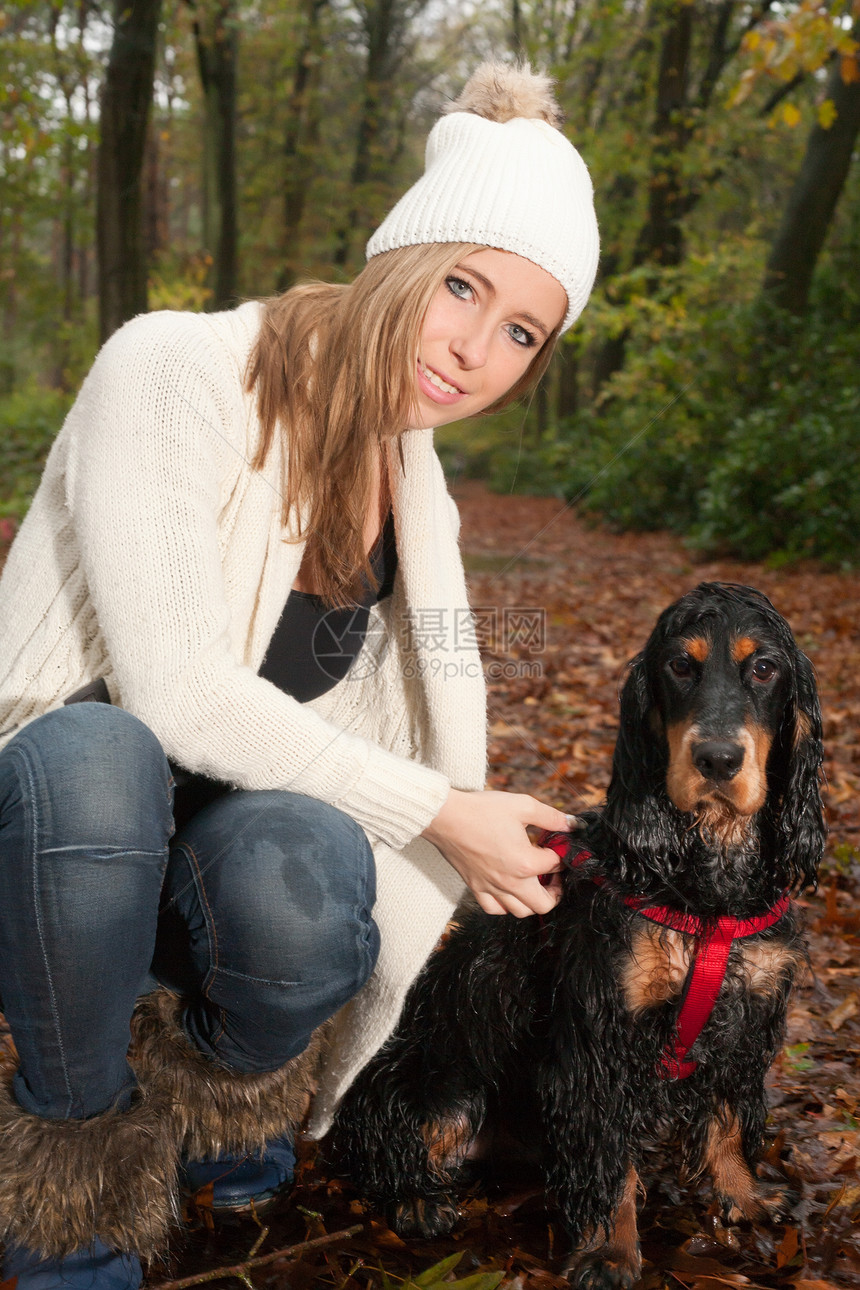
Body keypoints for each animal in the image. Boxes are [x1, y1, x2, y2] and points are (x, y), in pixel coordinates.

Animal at [332, 588, 825, 1290]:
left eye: (764, 670)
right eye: (680, 666)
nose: (717, 760)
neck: (706, 883)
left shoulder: (749, 1015)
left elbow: (729, 1119)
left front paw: (744, 1196)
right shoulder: (599, 1035)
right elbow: (607, 1154)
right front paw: (608, 1252)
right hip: (444, 1080)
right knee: (383, 1148)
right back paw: (417, 1200)